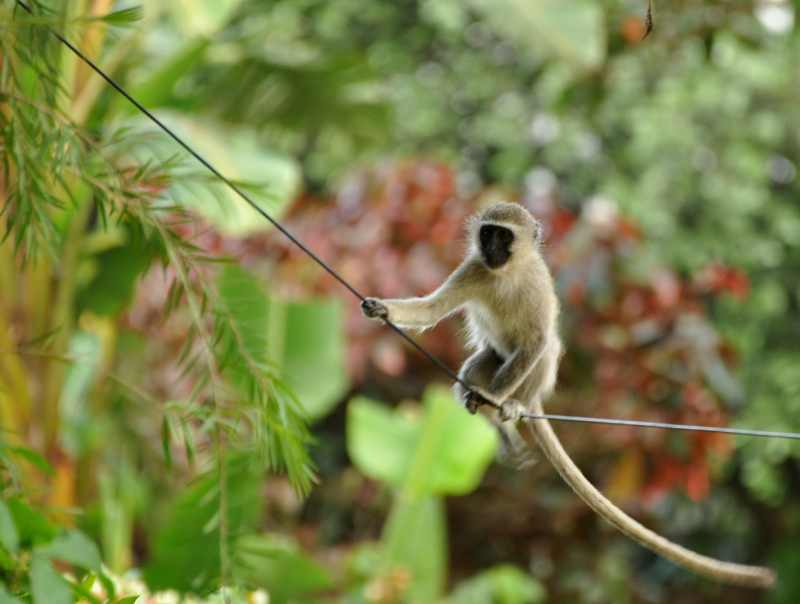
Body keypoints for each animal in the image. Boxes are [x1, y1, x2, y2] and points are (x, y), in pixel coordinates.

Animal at [361, 201, 776, 589]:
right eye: (487, 233)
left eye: (504, 236)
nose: (491, 248)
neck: (506, 273)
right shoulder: (474, 268)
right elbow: (431, 308)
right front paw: (382, 307)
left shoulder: (534, 284)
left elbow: (537, 341)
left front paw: (495, 399)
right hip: (493, 358)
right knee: (480, 364)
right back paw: (494, 417)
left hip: (531, 378)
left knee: (543, 352)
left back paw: (507, 407)